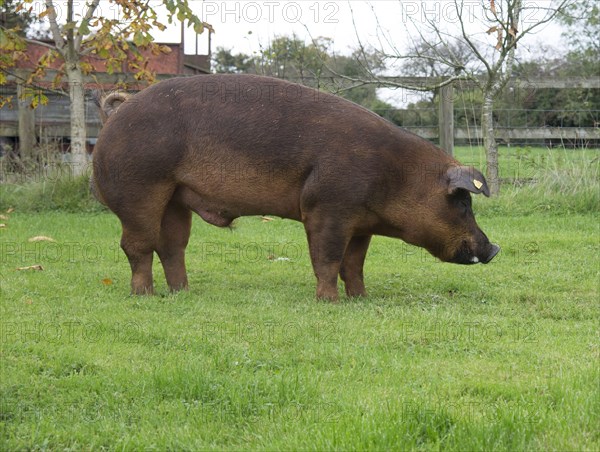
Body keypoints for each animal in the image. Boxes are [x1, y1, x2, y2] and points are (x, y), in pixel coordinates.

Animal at [91, 74, 500, 300]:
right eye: (462, 203)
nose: (494, 248)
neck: (396, 175)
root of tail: (117, 112)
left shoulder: (361, 224)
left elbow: (355, 263)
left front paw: (362, 298)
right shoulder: (325, 207)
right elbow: (328, 258)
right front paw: (329, 302)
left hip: (176, 197)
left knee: (171, 245)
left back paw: (182, 292)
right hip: (139, 189)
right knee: (137, 245)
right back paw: (144, 295)